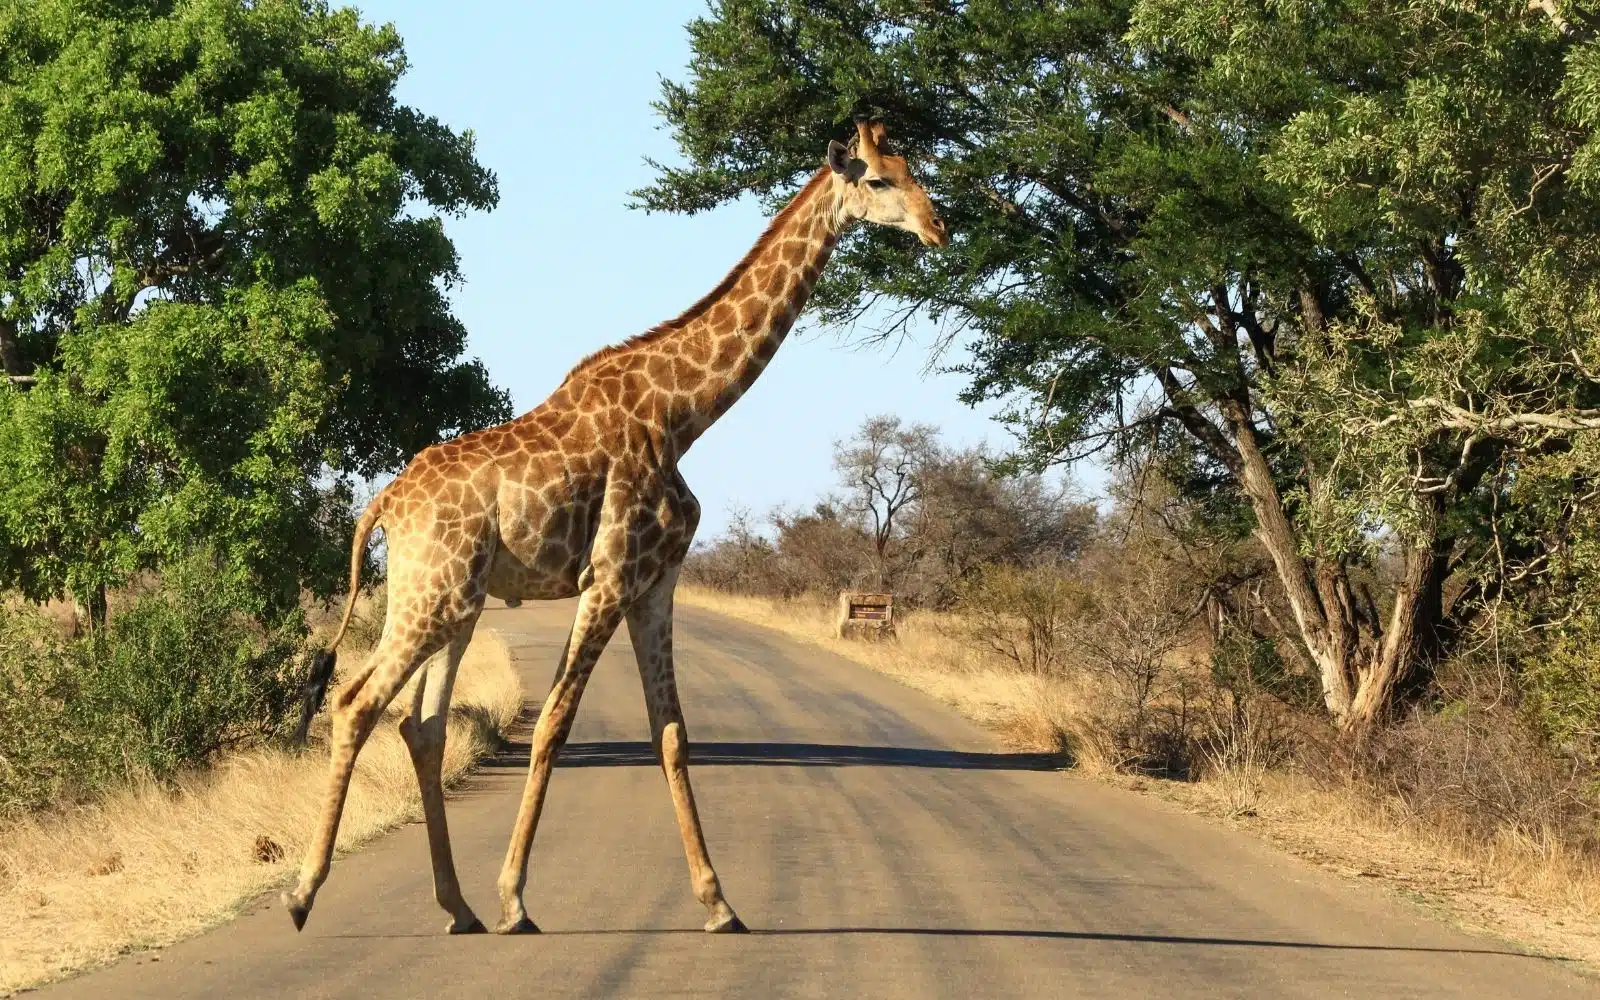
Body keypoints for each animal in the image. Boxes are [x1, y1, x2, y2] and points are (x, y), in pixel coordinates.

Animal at [281, 118, 948, 936]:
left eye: (912, 166)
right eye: (879, 180)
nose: (938, 226)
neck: (684, 414)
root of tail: (382, 506)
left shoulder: (655, 582)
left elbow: (673, 732)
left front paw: (719, 902)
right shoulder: (608, 576)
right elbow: (554, 723)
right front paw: (516, 898)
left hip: (455, 604)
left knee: (422, 727)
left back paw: (456, 906)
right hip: (429, 595)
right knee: (356, 703)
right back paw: (305, 896)